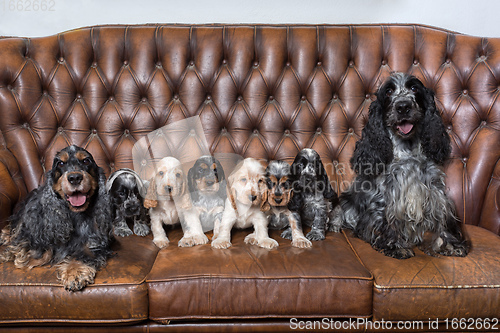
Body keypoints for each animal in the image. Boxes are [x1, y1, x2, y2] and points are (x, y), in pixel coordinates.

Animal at [0, 144, 113, 290]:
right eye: (60, 163)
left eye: (86, 161)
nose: (75, 177)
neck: (75, 215)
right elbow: (39, 246)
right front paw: (19, 254)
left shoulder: (96, 242)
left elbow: (84, 254)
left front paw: (74, 273)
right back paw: (5, 236)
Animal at [330, 72, 470, 260]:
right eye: (389, 91)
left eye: (414, 88)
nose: (403, 106)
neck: (408, 151)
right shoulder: (384, 199)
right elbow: (386, 221)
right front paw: (394, 246)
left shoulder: (435, 192)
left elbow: (443, 218)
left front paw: (451, 244)